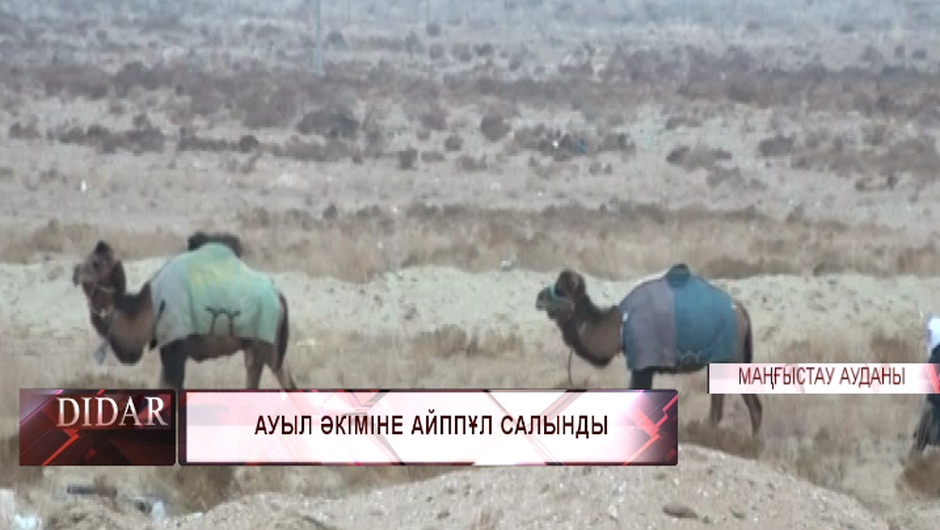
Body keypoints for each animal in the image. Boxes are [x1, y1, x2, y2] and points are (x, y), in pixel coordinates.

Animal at [72, 234, 297, 391]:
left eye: (96, 262)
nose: (74, 272)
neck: (149, 307)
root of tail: (279, 296)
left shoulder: (175, 346)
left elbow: (171, 386)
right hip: (265, 347)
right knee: (287, 380)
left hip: (261, 344)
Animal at [535, 265, 763, 436]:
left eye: (560, 289)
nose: (539, 298)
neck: (620, 326)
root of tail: (742, 311)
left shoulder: (641, 364)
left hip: (730, 356)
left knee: (744, 403)